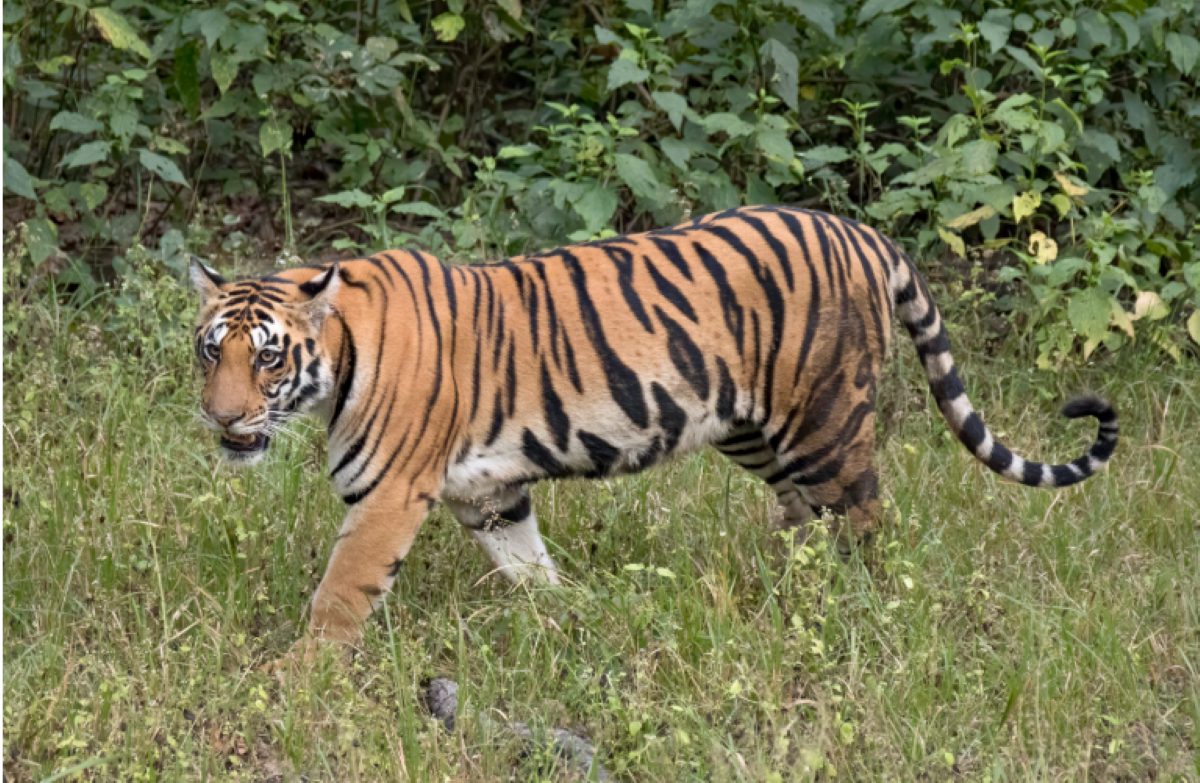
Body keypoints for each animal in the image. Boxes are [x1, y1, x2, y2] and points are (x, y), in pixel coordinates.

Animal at [190, 204, 1118, 665]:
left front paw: (300, 677)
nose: (223, 417)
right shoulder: (490, 493)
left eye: (268, 357)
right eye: (210, 350)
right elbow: (530, 566)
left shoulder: (388, 495)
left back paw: (862, 612)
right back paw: (778, 591)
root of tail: (863, 231)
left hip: (824, 421)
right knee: (803, 517)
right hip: (751, 428)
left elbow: (340, 592)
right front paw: (570, 617)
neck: (338, 360)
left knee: (864, 521)